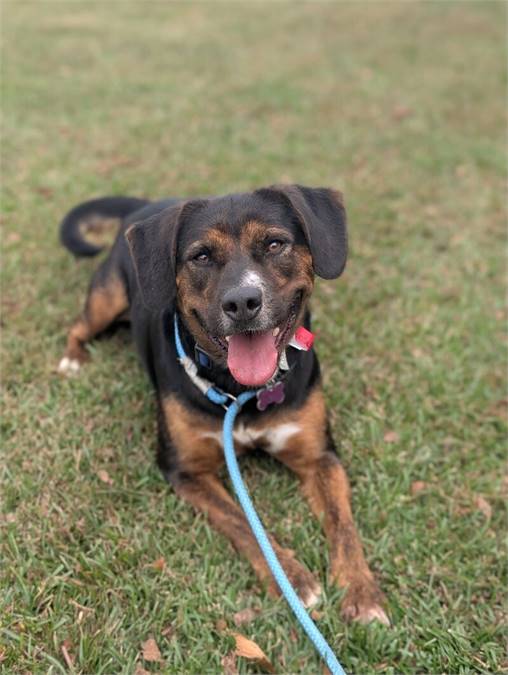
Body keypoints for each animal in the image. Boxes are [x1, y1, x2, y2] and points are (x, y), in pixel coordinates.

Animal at [56, 186, 388, 628]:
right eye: (200, 256)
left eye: (274, 244)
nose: (243, 301)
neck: (241, 391)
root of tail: (146, 204)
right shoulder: (185, 468)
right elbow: (242, 521)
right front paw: (291, 578)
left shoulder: (320, 456)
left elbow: (343, 523)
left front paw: (361, 590)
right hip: (106, 297)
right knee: (79, 326)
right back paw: (73, 358)